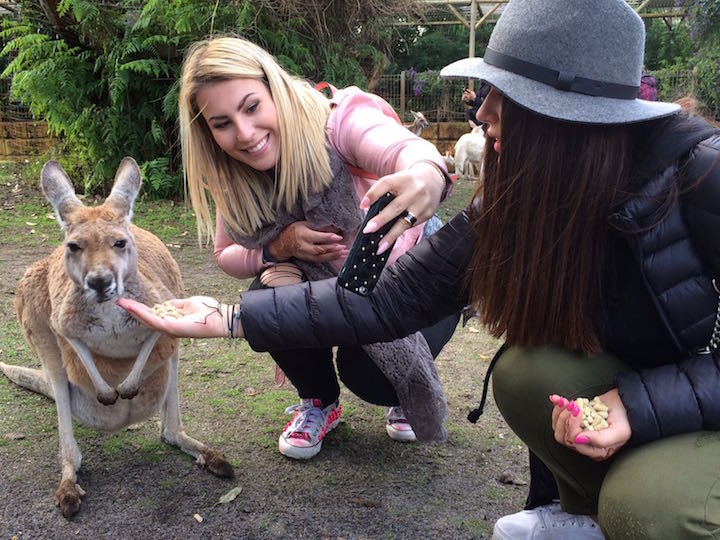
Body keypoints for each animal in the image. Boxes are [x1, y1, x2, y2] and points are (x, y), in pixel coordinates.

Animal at [2, 157, 232, 520]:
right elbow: (78, 347)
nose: (99, 281)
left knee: (170, 430)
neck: (108, 308)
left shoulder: (160, 306)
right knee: (60, 394)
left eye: (119, 243)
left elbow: (151, 339)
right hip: (34, 312)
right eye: (74, 246)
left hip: (174, 335)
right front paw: (108, 392)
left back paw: (209, 456)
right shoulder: (62, 321)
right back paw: (68, 488)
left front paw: (126, 387)